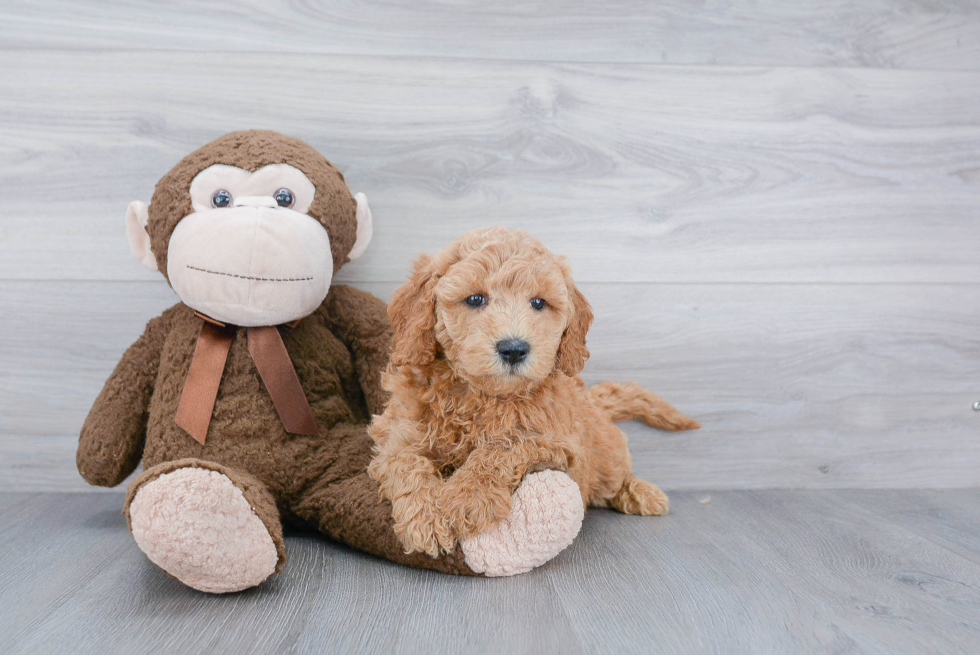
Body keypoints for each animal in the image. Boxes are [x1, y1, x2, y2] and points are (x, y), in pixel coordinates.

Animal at [368, 227, 696, 560]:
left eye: (538, 303)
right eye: (475, 299)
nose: (514, 349)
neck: (481, 397)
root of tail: (592, 402)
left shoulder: (557, 442)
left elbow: (505, 445)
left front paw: (464, 499)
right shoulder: (397, 435)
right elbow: (406, 464)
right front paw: (426, 521)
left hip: (606, 458)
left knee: (614, 479)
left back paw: (644, 493)